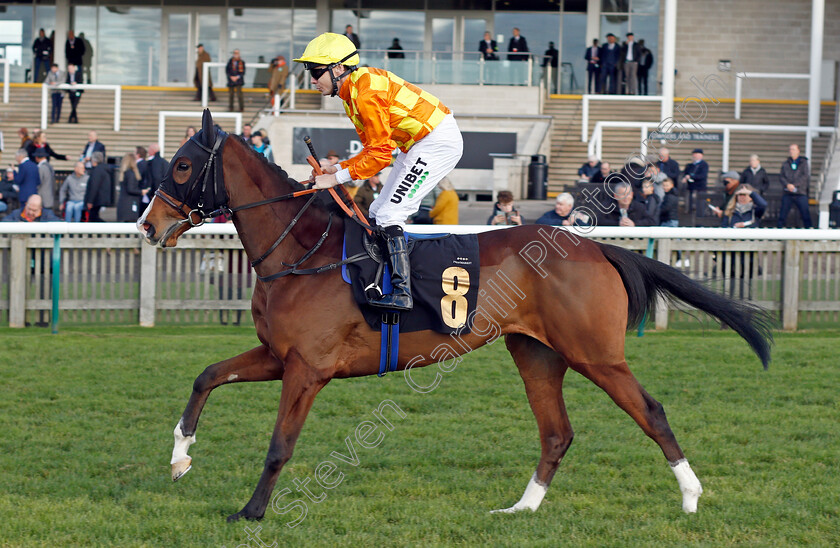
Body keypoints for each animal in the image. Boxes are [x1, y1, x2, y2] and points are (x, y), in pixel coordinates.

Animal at [136, 110, 768, 524]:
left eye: (184, 166)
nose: (147, 225)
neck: (302, 252)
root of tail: (594, 247)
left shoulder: (308, 369)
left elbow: (279, 445)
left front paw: (251, 511)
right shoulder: (276, 355)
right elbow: (206, 377)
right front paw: (179, 458)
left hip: (595, 353)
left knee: (650, 411)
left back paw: (690, 496)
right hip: (536, 352)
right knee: (556, 432)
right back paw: (522, 508)